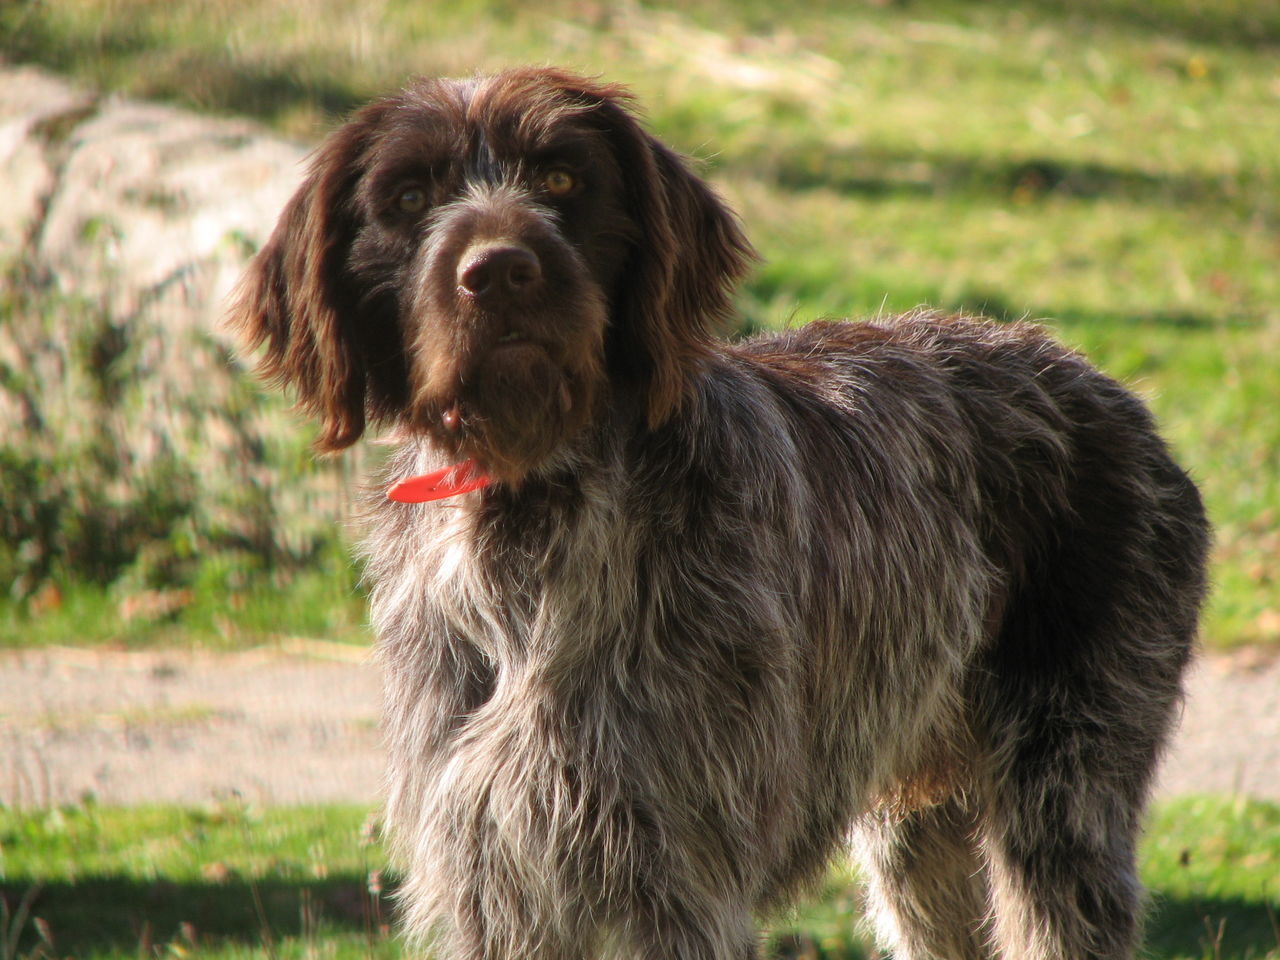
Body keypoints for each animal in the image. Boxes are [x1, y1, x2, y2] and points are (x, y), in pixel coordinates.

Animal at [227, 69, 1208, 960]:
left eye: (563, 179)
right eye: (409, 197)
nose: (500, 272)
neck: (530, 517)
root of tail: (1101, 384)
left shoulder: (674, 881)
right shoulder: (498, 884)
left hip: (1059, 810)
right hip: (923, 838)